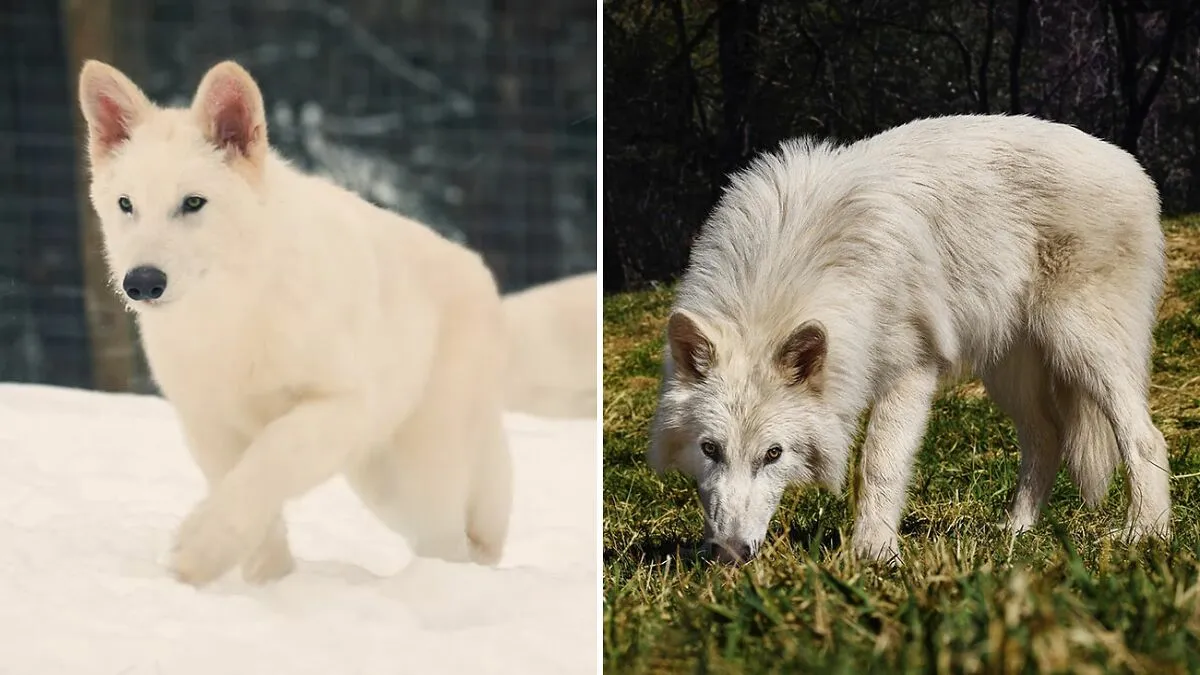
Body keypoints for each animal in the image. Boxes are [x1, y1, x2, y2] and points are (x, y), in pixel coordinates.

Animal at [78, 59, 513, 586]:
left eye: (193, 203)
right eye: (126, 205)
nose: (142, 282)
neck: (234, 314)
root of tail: (480, 273)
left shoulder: (341, 405)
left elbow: (268, 461)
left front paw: (201, 551)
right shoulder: (209, 424)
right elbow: (248, 494)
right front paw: (268, 581)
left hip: (418, 473)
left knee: (451, 542)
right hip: (383, 484)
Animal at [648, 114, 1173, 565]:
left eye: (773, 454)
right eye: (710, 449)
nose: (729, 555)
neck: (791, 268)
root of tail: (1130, 164)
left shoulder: (911, 371)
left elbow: (879, 464)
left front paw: (875, 554)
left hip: (1083, 348)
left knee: (1144, 436)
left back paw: (1146, 532)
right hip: (1009, 373)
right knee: (1047, 439)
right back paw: (1015, 533)